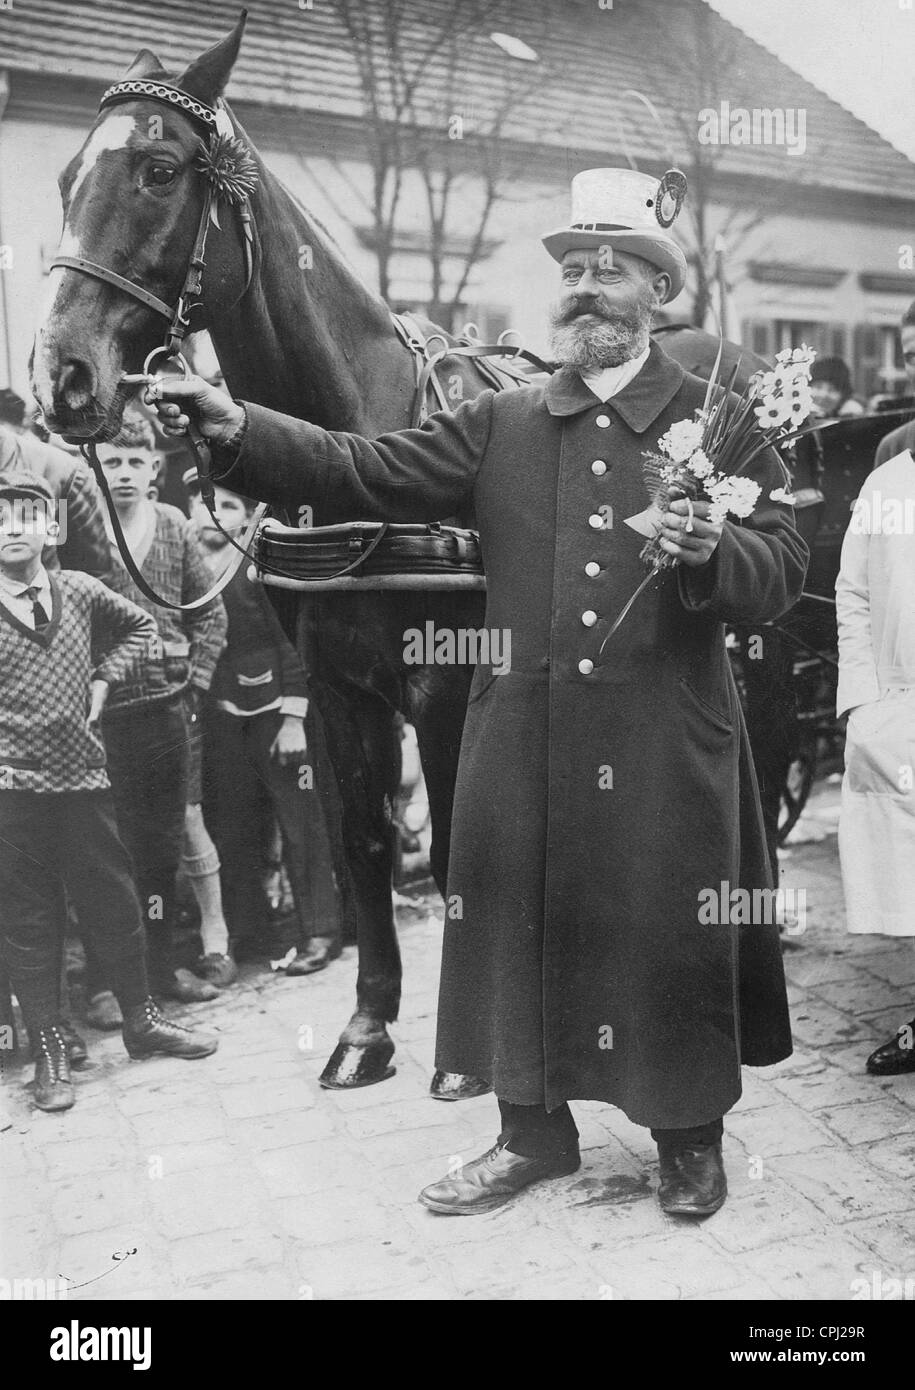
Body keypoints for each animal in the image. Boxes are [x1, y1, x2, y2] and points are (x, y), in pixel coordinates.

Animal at [28, 13, 506, 1095]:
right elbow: (364, 842)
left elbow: (453, 849)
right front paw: (368, 1028)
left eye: (160, 169)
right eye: (68, 174)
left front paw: (467, 1057)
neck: (367, 438)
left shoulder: (443, 682)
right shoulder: (335, 684)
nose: (63, 376)